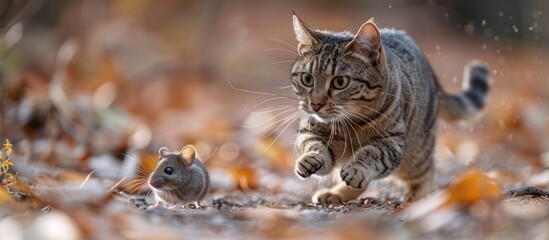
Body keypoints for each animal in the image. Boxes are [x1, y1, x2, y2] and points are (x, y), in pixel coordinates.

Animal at [292, 14, 488, 203]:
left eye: (340, 82)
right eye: (307, 79)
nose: (315, 104)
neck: (349, 124)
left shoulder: (391, 143)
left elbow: (371, 153)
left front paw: (357, 168)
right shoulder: (311, 131)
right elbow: (313, 145)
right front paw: (311, 157)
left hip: (417, 152)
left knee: (427, 170)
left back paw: (417, 195)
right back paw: (335, 193)